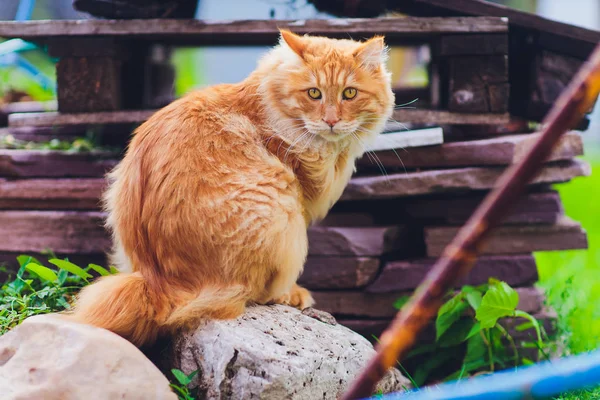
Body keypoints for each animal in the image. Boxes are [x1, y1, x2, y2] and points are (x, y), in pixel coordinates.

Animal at [69, 29, 394, 346]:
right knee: (257, 293)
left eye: (349, 93)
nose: (331, 121)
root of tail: (157, 281)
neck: (271, 109)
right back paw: (290, 295)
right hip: (282, 209)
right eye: (314, 93)